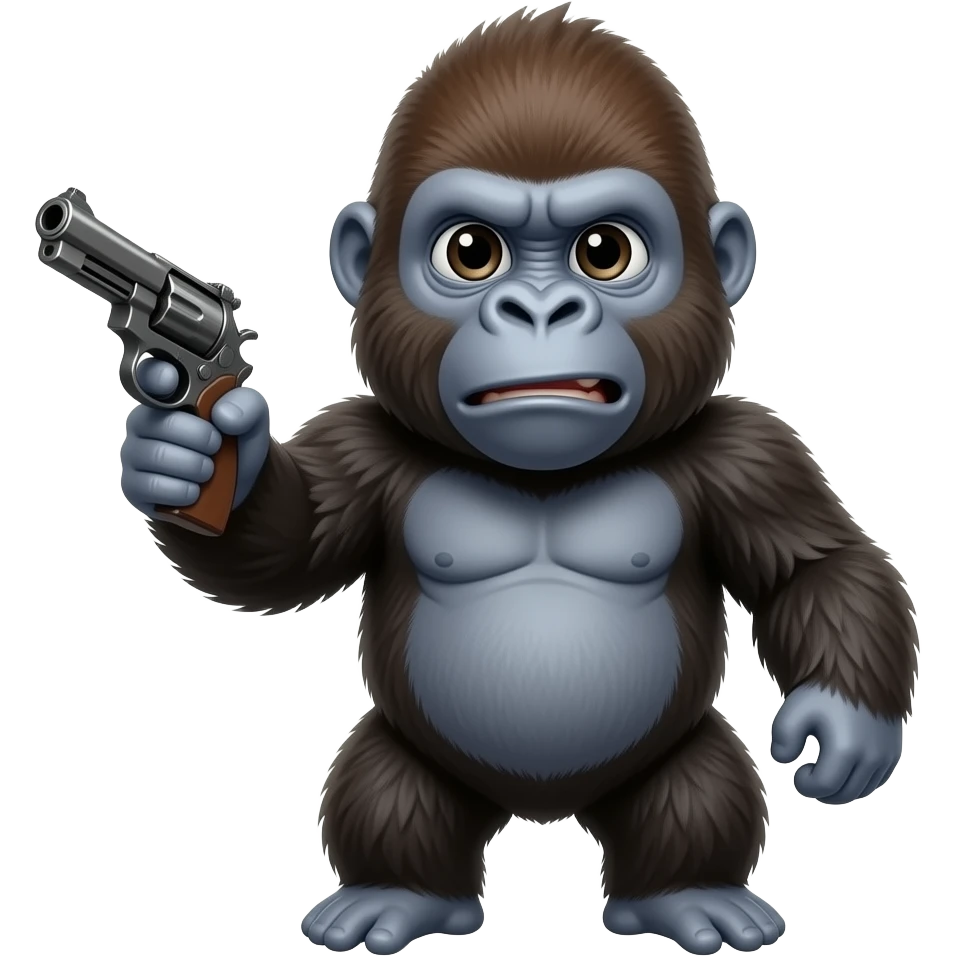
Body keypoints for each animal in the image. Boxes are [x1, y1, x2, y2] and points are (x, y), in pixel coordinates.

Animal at [117, 5, 920, 955]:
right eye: (472, 252)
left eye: (604, 251)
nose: (538, 310)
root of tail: (544, 813)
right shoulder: (363, 444)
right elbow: (283, 555)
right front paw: (183, 458)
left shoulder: (749, 451)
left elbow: (816, 566)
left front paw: (845, 725)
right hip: (416, 764)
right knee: (387, 787)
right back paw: (401, 895)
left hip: (669, 764)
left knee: (697, 789)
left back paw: (685, 894)